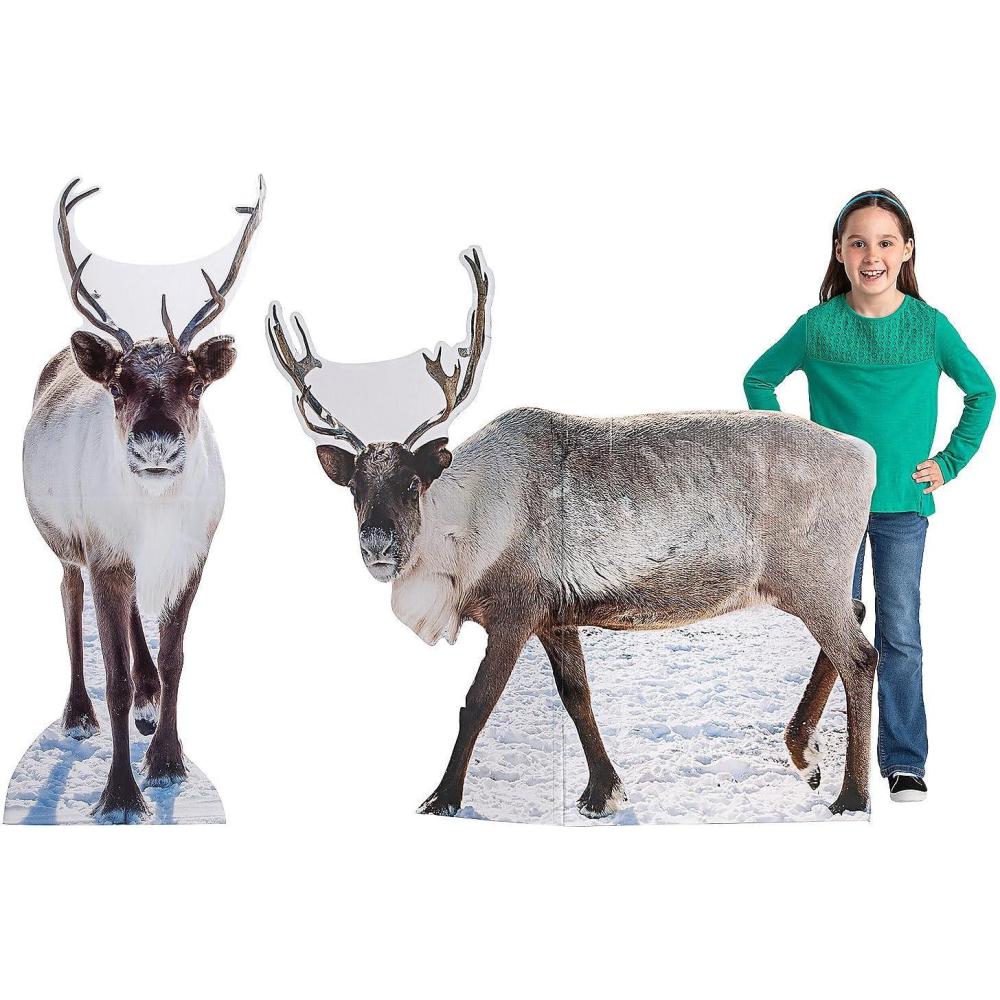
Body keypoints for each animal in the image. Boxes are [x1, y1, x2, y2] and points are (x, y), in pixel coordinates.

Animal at [22, 177, 264, 822]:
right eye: (118, 385)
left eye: (194, 382)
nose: (156, 440)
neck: (153, 516)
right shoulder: (105, 555)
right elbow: (115, 679)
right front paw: (121, 793)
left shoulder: (192, 556)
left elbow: (177, 659)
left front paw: (168, 759)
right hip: (68, 548)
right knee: (69, 600)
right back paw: (79, 712)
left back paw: (150, 700)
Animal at [266, 247, 879, 819]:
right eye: (354, 487)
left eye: (413, 482)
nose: (377, 543)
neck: (464, 529)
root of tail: (866, 455)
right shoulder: (556, 615)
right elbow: (577, 695)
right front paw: (602, 792)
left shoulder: (514, 611)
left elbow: (476, 702)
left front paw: (441, 798)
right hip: (813, 581)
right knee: (856, 618)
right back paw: (806, 757)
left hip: (808, 577)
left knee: (860, 656)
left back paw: (850, 794)